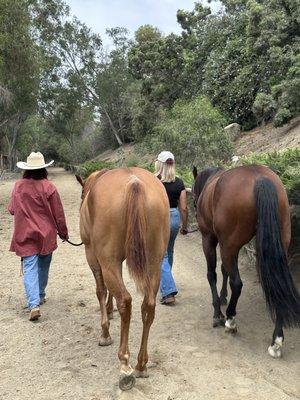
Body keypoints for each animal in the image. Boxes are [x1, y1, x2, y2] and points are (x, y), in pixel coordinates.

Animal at [75, 167, 169, 390]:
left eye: (82, 194)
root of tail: (135, 183)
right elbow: (110, 292)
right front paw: (110, 311)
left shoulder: (93, 256)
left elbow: (101, 290)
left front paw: (105, 332)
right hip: (154, 263)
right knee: (148, 306)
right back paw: (141, 364)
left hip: (108, 261)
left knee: (125, 301)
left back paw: (125, 364)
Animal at [192, 164, 300, 358]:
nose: (194, 209)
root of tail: (259, 177)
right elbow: (224, 270)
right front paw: (223, 297)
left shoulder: (209, 239)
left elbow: (212, 274)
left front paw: (217, 312)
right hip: (278, 244)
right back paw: (277, 340)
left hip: (229, 245)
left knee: (237, 283)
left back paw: (230, 320)